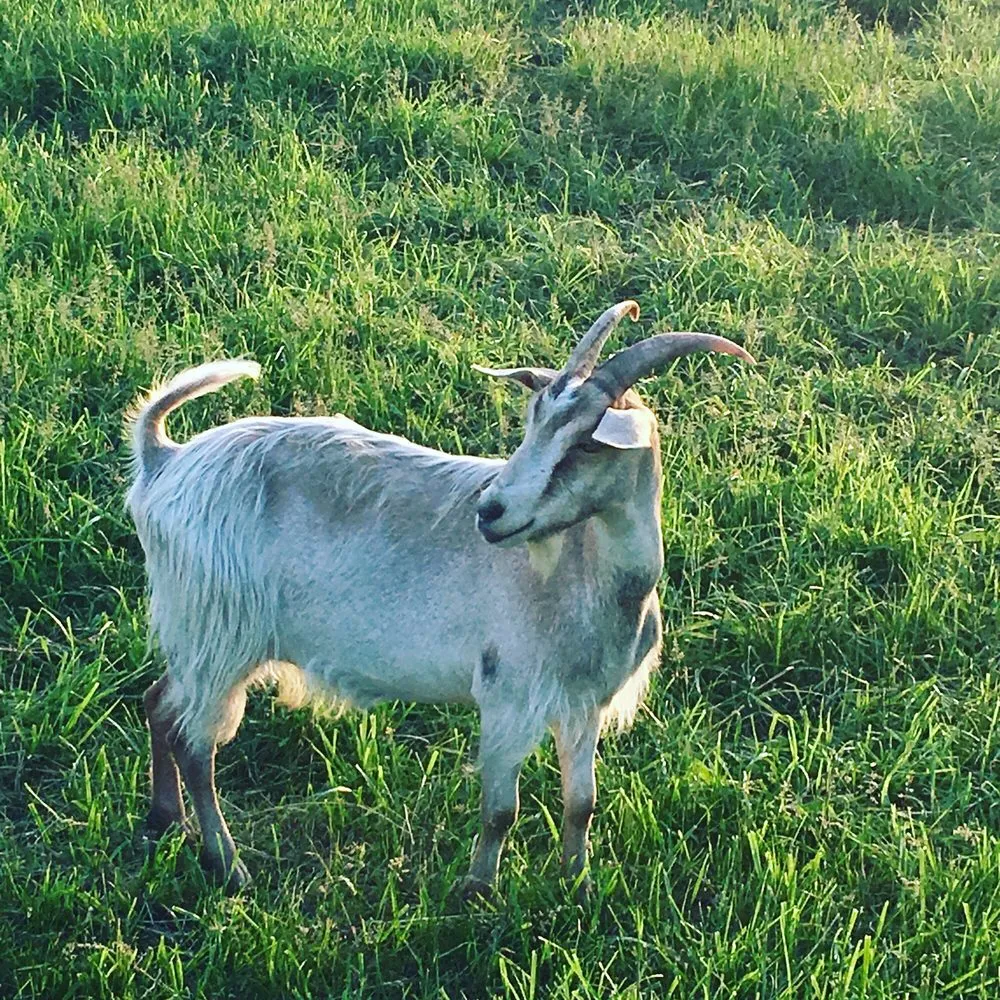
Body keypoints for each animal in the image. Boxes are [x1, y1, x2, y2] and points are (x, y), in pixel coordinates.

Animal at [127, 301, 754, 896]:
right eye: (532, 424)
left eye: (585, 444)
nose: (491, 510)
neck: (583, 577)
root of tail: (164, 461)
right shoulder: (508, 695)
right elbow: (501, 810)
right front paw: (477, 891)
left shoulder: (582, 703)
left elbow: (582, 804)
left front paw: (578, 882)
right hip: (218, 635)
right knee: (195, 743)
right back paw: (226, 863)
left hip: (200, 636)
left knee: (159, 703)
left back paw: (165, 819)